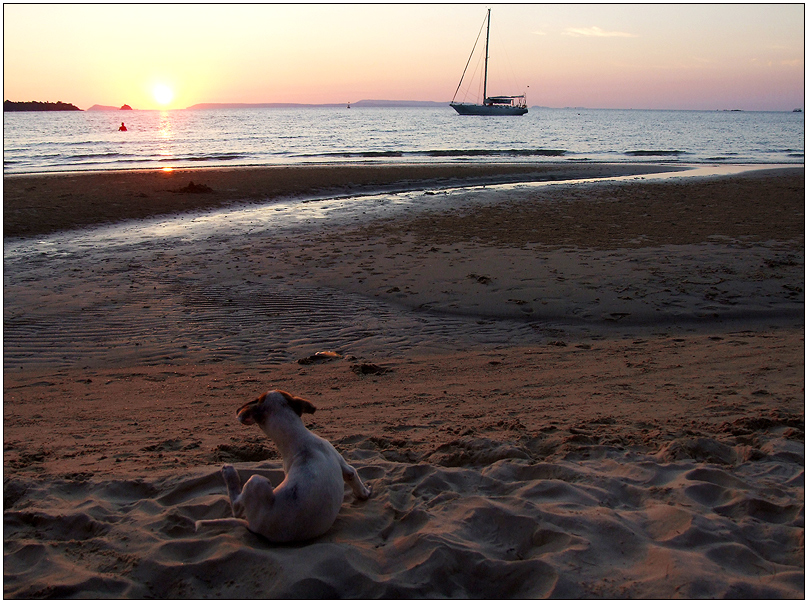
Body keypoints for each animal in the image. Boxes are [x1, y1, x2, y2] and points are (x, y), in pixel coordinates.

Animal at [196, 390, 372, 544]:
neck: (297, 438)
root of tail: (255, 527)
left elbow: (354, 479)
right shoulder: (344, 465)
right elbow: (354, 477)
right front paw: (365, 493)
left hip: (256, 481)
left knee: (237, 509)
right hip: (258, 481)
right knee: (237, 508)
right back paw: (230, 473)